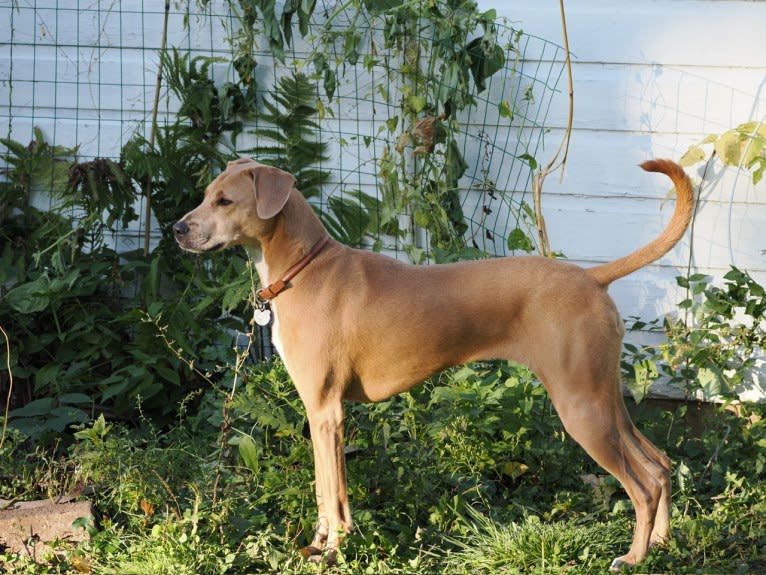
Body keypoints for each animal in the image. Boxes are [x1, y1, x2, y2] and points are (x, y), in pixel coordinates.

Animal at [177, 158, 700, 572]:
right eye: (205, 196)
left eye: (224, 200)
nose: (179, 229)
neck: (306, 269)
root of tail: (593, 278)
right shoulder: (319, 413)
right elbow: (324, 491)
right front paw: (319, 546)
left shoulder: (326, 412)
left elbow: (334, 492)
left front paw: (333, 550)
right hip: (604, 399)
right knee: (660, 465)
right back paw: (660, 543)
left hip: (581, 408)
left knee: (641, 487)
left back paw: (634, 557)